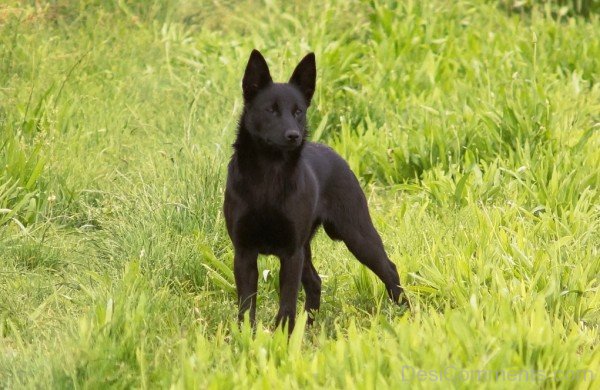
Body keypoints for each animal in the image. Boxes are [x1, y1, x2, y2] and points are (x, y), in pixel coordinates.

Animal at [223, 49, 410, 332]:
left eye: (298, 111)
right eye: (270, 110)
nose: (294, 136)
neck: (269, 177)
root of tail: (335, 154)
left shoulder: (291, 253)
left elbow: (287, 302)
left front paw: (284, 336)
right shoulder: (245, 253)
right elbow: (246, 306)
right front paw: (247, 336)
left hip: (357, 234)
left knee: (390, 269)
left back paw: (407, 313)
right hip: (310, 247)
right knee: (314, 282)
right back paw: (309, 326)